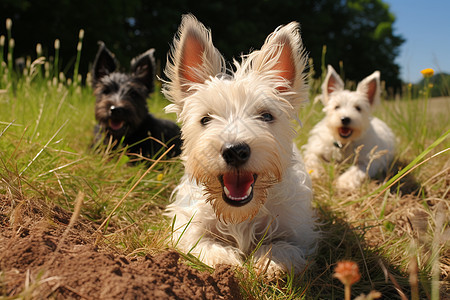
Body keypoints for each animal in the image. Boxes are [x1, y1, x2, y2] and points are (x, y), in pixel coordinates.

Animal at [163, 15, 318, 276]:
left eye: (266, 116)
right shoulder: (187, 224)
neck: (240, 215)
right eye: (205, 119)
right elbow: (203, 242)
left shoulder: (299, 232)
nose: (235, 151)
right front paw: (224, 260)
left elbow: (282, 244)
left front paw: (270, 261)